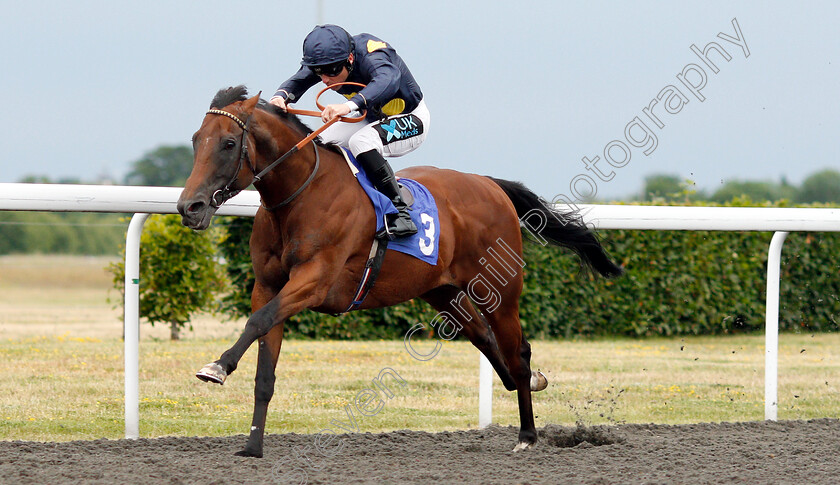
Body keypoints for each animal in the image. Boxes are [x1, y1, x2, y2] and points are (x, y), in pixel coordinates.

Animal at [179, 85, 624, 456]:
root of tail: (489, 184)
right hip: (442, 291)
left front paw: (216, 367)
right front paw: (252, 446)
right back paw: (530, 383)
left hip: (499, 291)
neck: (302, 196)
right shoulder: (269, 286)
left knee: (517, 351)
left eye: (229, 143)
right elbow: (265, 366)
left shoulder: (314, 281)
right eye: (196, 140)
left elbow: (257, 321)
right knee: (486, 340)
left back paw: (527, 435)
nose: (189, 207)